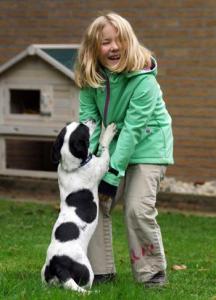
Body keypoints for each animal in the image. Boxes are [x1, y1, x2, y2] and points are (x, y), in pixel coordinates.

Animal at [40, 120, 116, 292]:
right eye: (84, 128)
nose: (92, 120)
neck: (72, 167)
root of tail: (58, 266)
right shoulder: (101, 165)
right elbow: (104, 146)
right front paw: (109, 131)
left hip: (45, 274)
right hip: (87, 271)